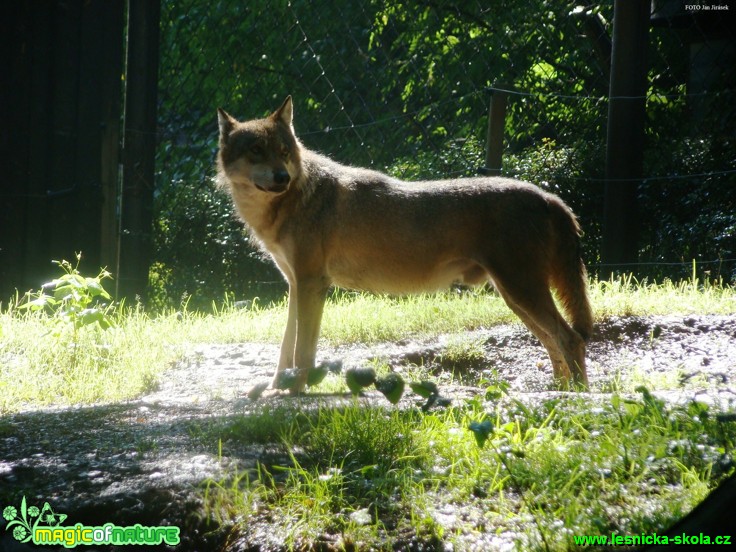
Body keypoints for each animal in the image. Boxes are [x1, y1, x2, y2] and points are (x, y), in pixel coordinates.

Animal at [214, 97, 592, 394]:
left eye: (283, 152)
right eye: (256, 152)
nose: (282, 177)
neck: (292, 200)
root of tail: (547, 196)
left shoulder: (312, 284)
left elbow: (303, 350)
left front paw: (295, 392)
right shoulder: (295, 284)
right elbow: (285, 347)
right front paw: (277, 387)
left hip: (520, 292)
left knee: (571, 338)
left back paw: (576, 396)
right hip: (515, 297)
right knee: (554, 342)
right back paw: (560, 391)